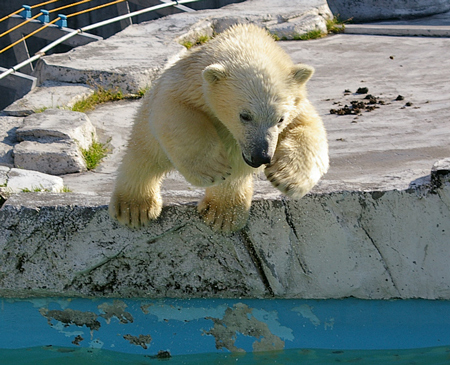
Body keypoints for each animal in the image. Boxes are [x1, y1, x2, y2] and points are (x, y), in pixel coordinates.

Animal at [109, 24, 326, 232]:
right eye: (245, 115)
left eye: (280, 118)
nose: (261, 156)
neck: (245, 39)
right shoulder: (187, 84)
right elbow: (176, 113)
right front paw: (211, 168)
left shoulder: (297, 107)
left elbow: (310, 128)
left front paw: (286, 178)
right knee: (145, 153)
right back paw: (134, 207)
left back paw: (222, 215)